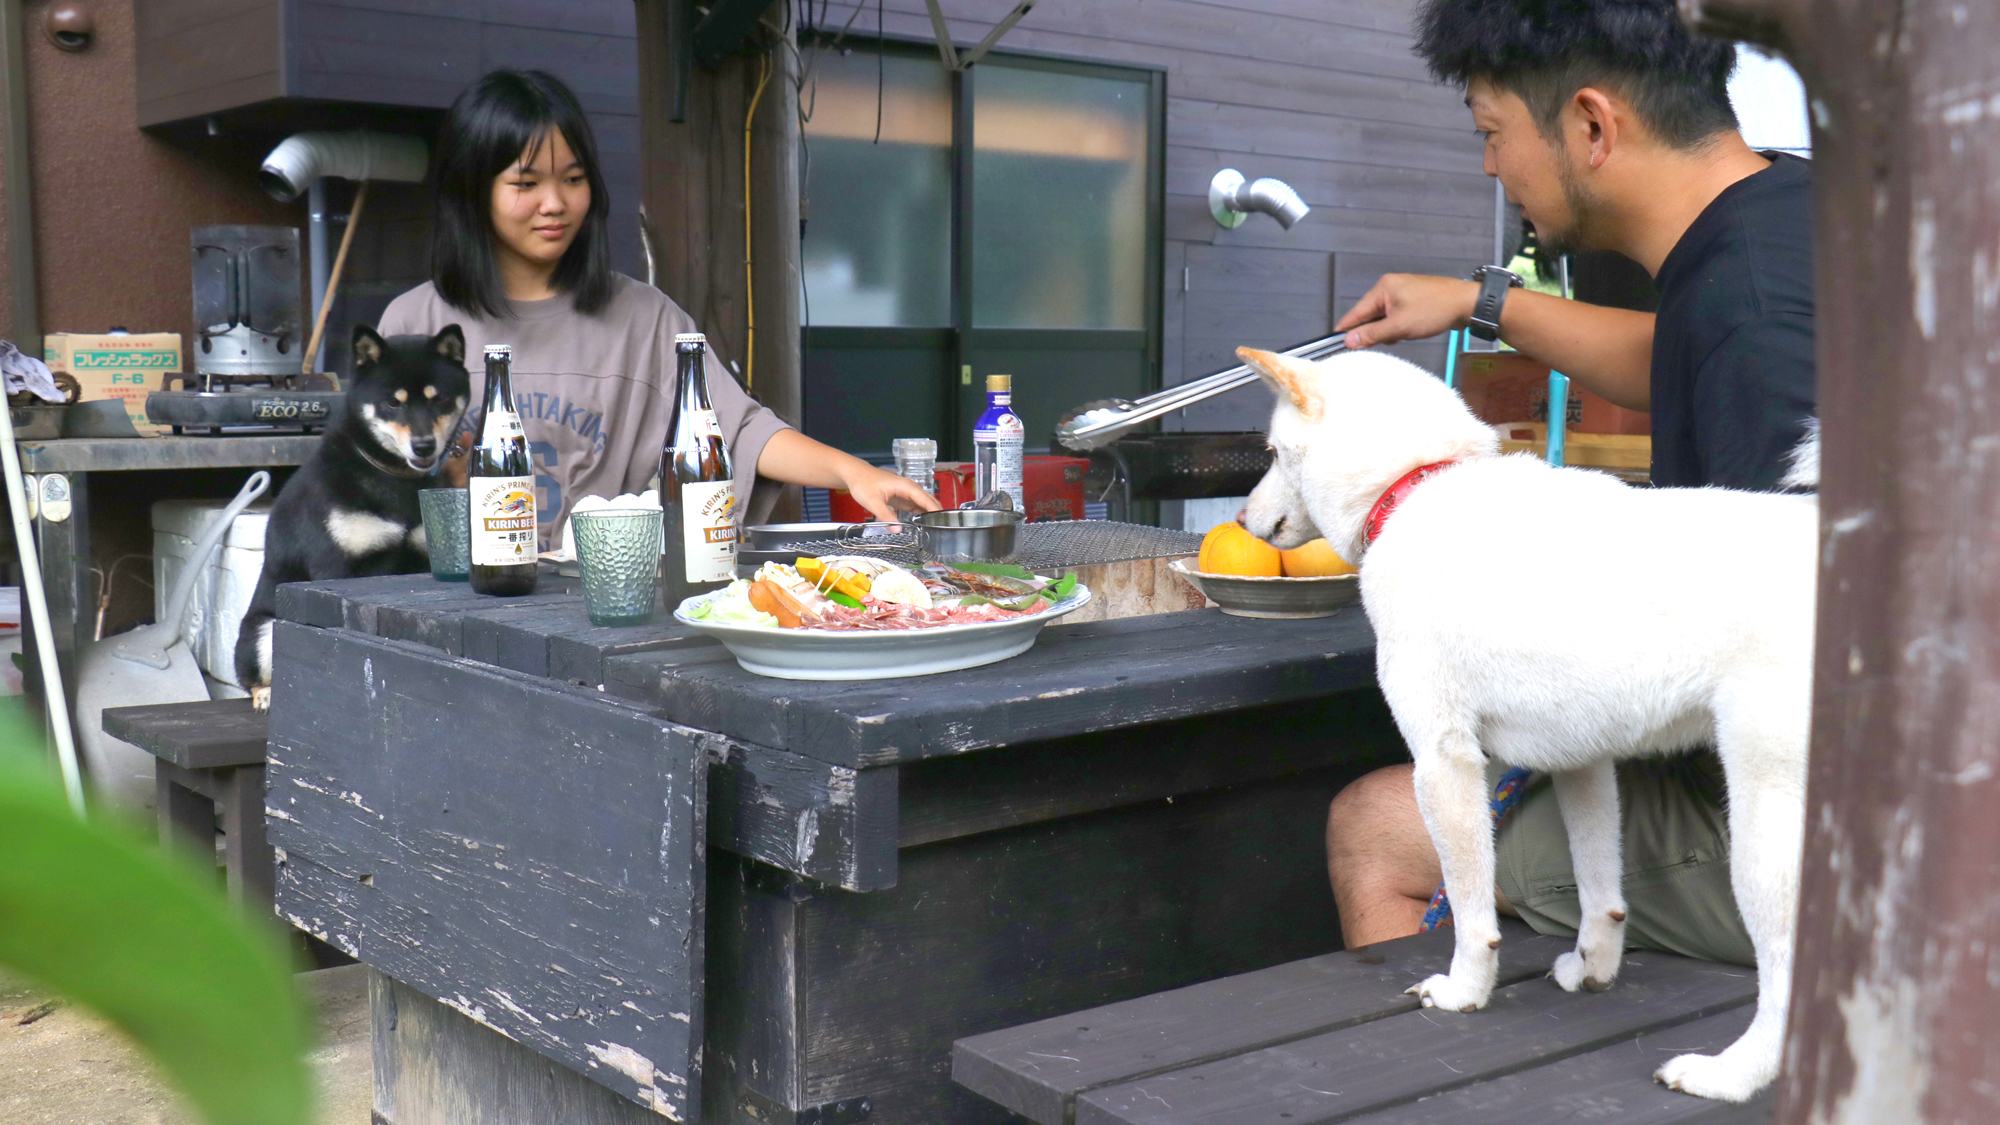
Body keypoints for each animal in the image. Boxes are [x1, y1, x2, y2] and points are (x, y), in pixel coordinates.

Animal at [236, 320, 470, 704]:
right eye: (392, 403)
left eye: (439, 399)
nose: (423, 446)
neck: (392, 477)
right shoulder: (336, 565)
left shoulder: (420, 555)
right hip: (262, 630)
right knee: (257, 674)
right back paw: (266, 695)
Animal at [1232, 346, 1816, 1096]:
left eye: (1273, 452)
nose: (1242, 517)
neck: (1416, 484)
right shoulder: (1582, 759)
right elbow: (1602, 891)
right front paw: (1593, 967)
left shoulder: (1443, 761)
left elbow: (1470, 907)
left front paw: (1464, 990)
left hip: (1765, 828)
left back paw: (1730, 1074)